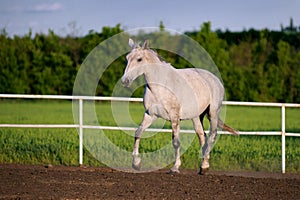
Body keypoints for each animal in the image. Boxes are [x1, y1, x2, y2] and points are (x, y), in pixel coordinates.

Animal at [120, 38, 238, 173]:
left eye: (139, 59)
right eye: (127, 58)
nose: (125, 81)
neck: (160, 86)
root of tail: (215, 79)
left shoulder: (174, 117)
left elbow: (176, 142)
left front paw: (175, 167)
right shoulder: (150, 114)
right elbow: (138, 133)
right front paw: (136, 163)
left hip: (213, 113)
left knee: (212, 135)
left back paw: (204, 166)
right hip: (197, 117)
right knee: (202, 136)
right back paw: (203, 165)